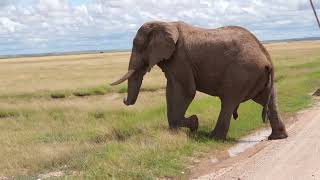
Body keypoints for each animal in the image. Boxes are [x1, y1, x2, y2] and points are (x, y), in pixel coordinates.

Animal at [110, 20, 288, 139]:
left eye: (138, 46)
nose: (124, 99)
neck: (165, 23)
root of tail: (266, 58)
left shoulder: (180, 58)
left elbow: (185, 91)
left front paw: (193, 124)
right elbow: (171, 90)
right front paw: (175, 131)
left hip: (242, 73)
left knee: (228, 101)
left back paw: (213, 137)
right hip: (257, 77)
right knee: (269, 101)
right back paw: (277, 137)